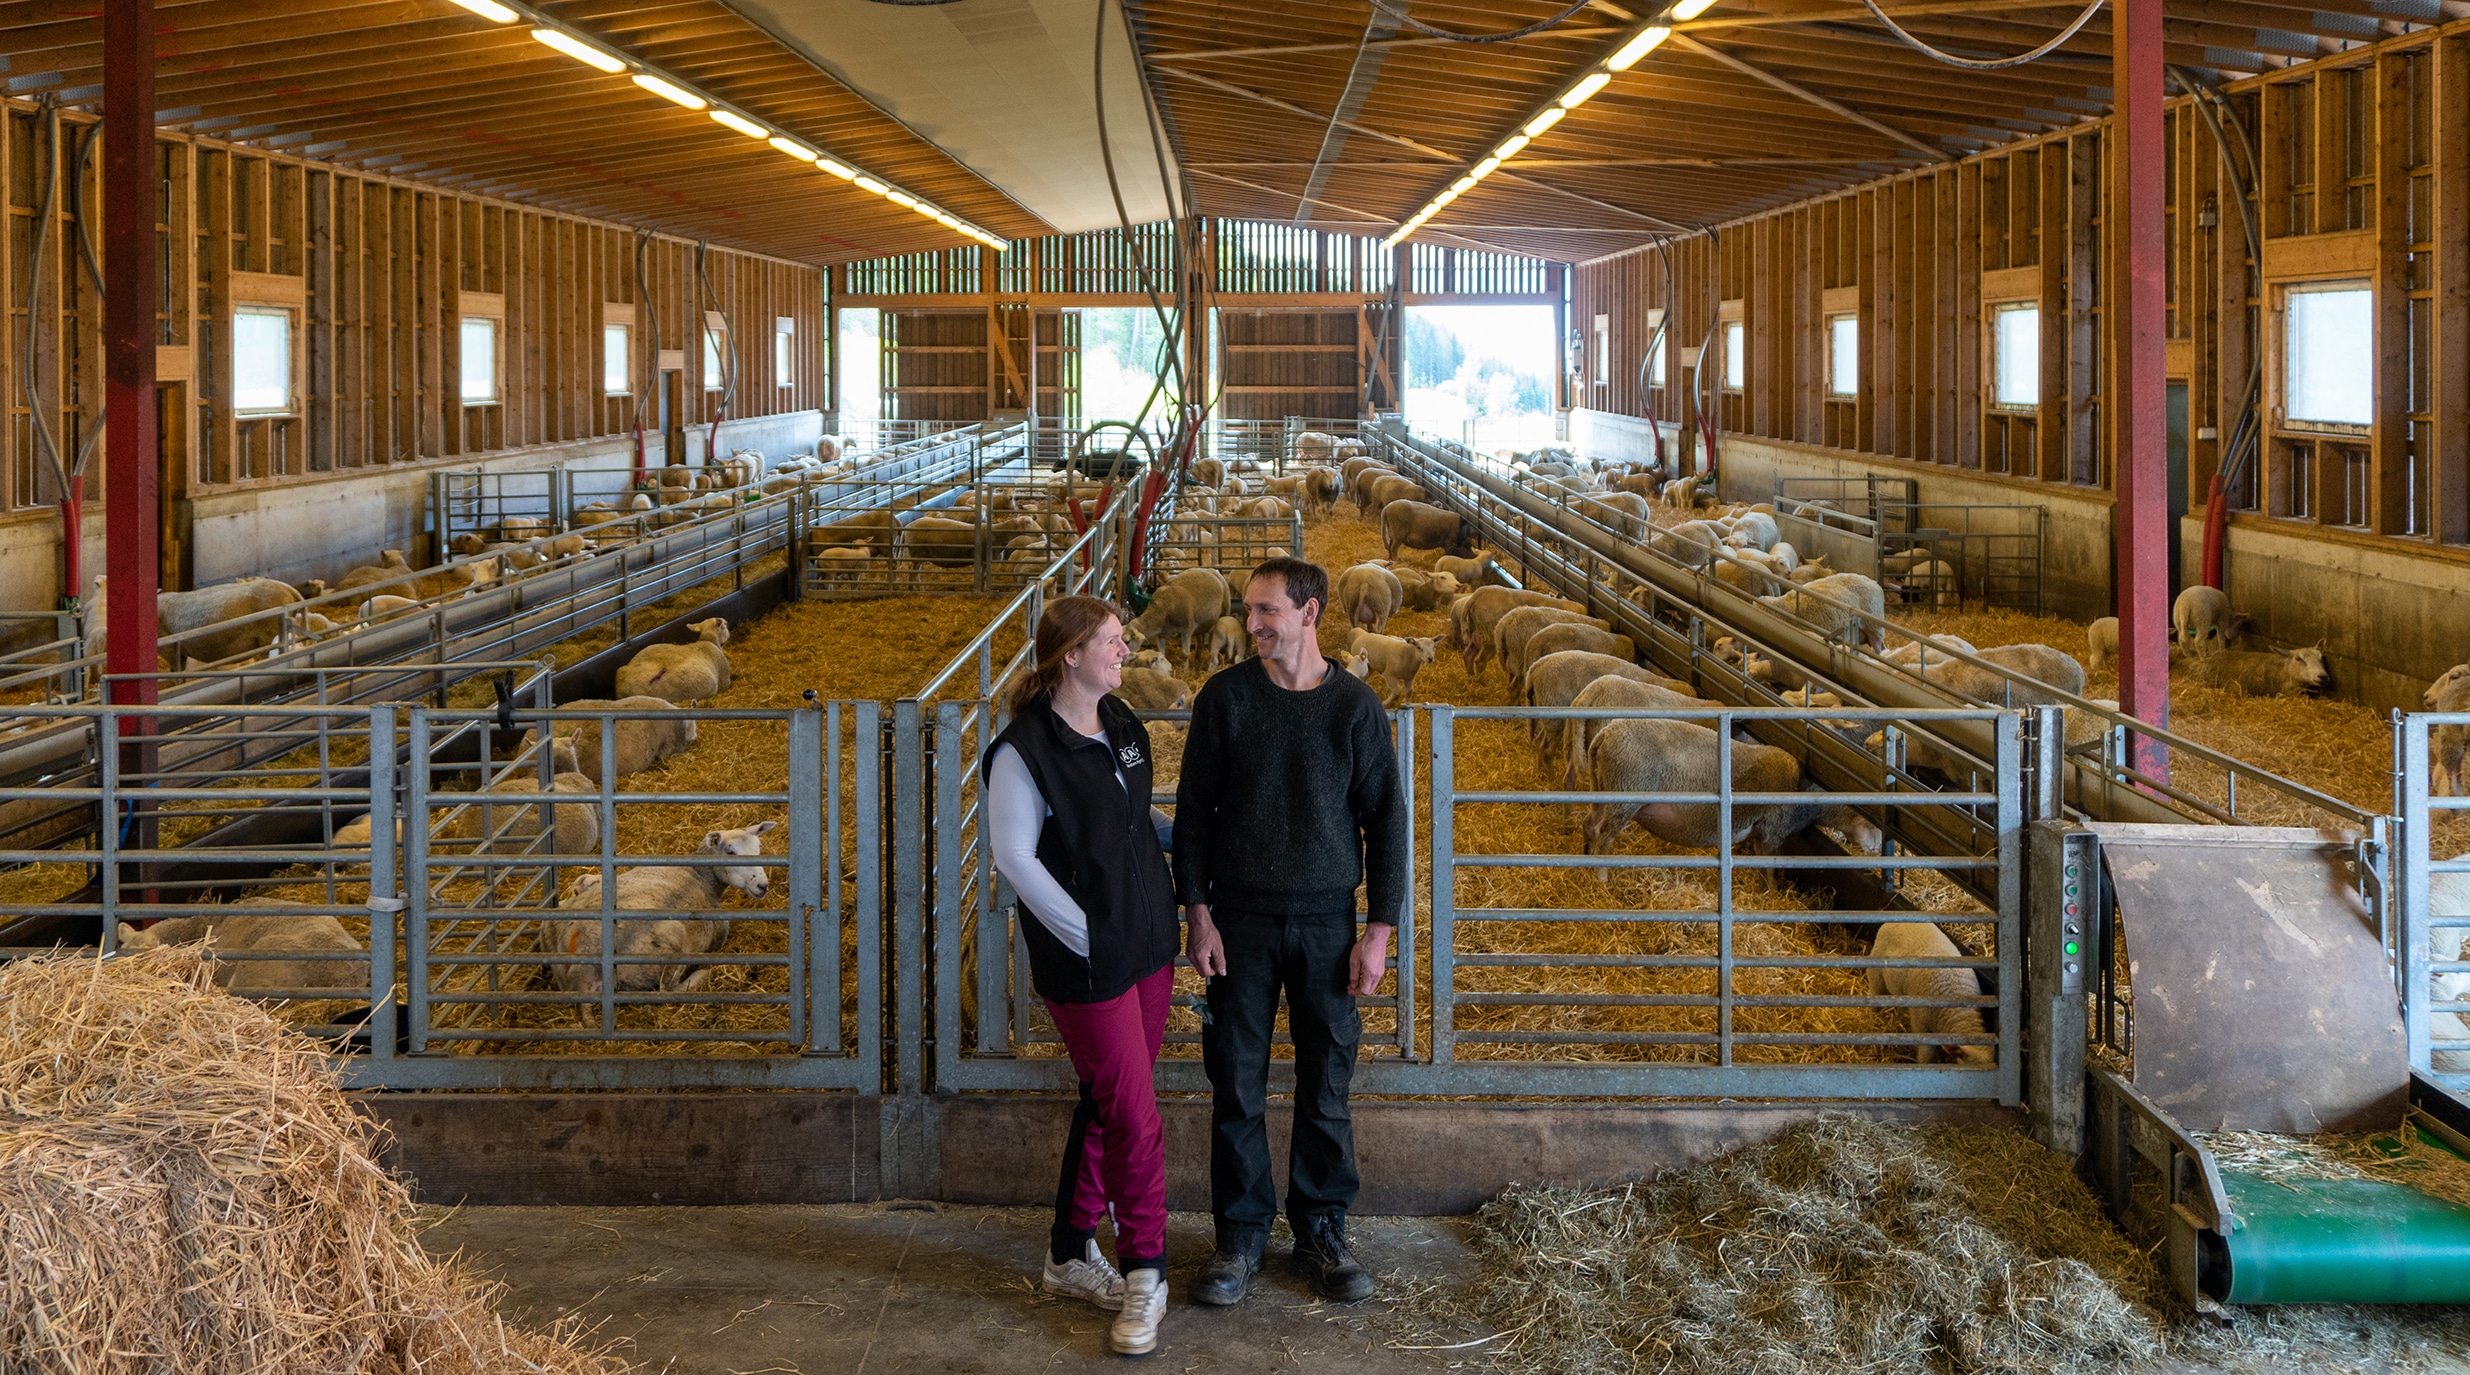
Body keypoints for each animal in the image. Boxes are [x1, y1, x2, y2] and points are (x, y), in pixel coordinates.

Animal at [553, 819, 775, 992]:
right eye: (730, 852)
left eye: (758, 848)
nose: (762, 885)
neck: (700, 875)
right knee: (667, 989)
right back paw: (702, 975)